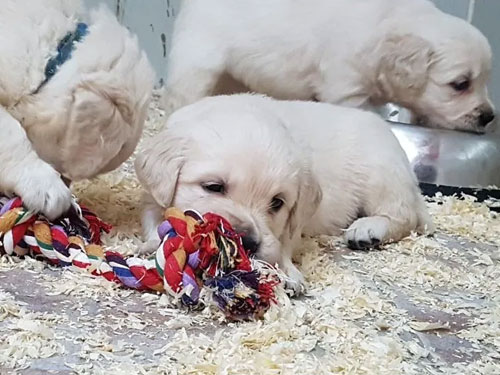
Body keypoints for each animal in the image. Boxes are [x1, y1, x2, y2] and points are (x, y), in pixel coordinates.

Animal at [136, 95, 434, 292]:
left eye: (277, 202)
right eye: (213, 187)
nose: (246, 241)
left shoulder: (295, 221)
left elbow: (284, 242)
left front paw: (288, 272)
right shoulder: (153, 195)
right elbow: (153, 217)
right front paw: (151, 244)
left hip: (380, 175)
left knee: (405, 215)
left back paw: (368, 230)